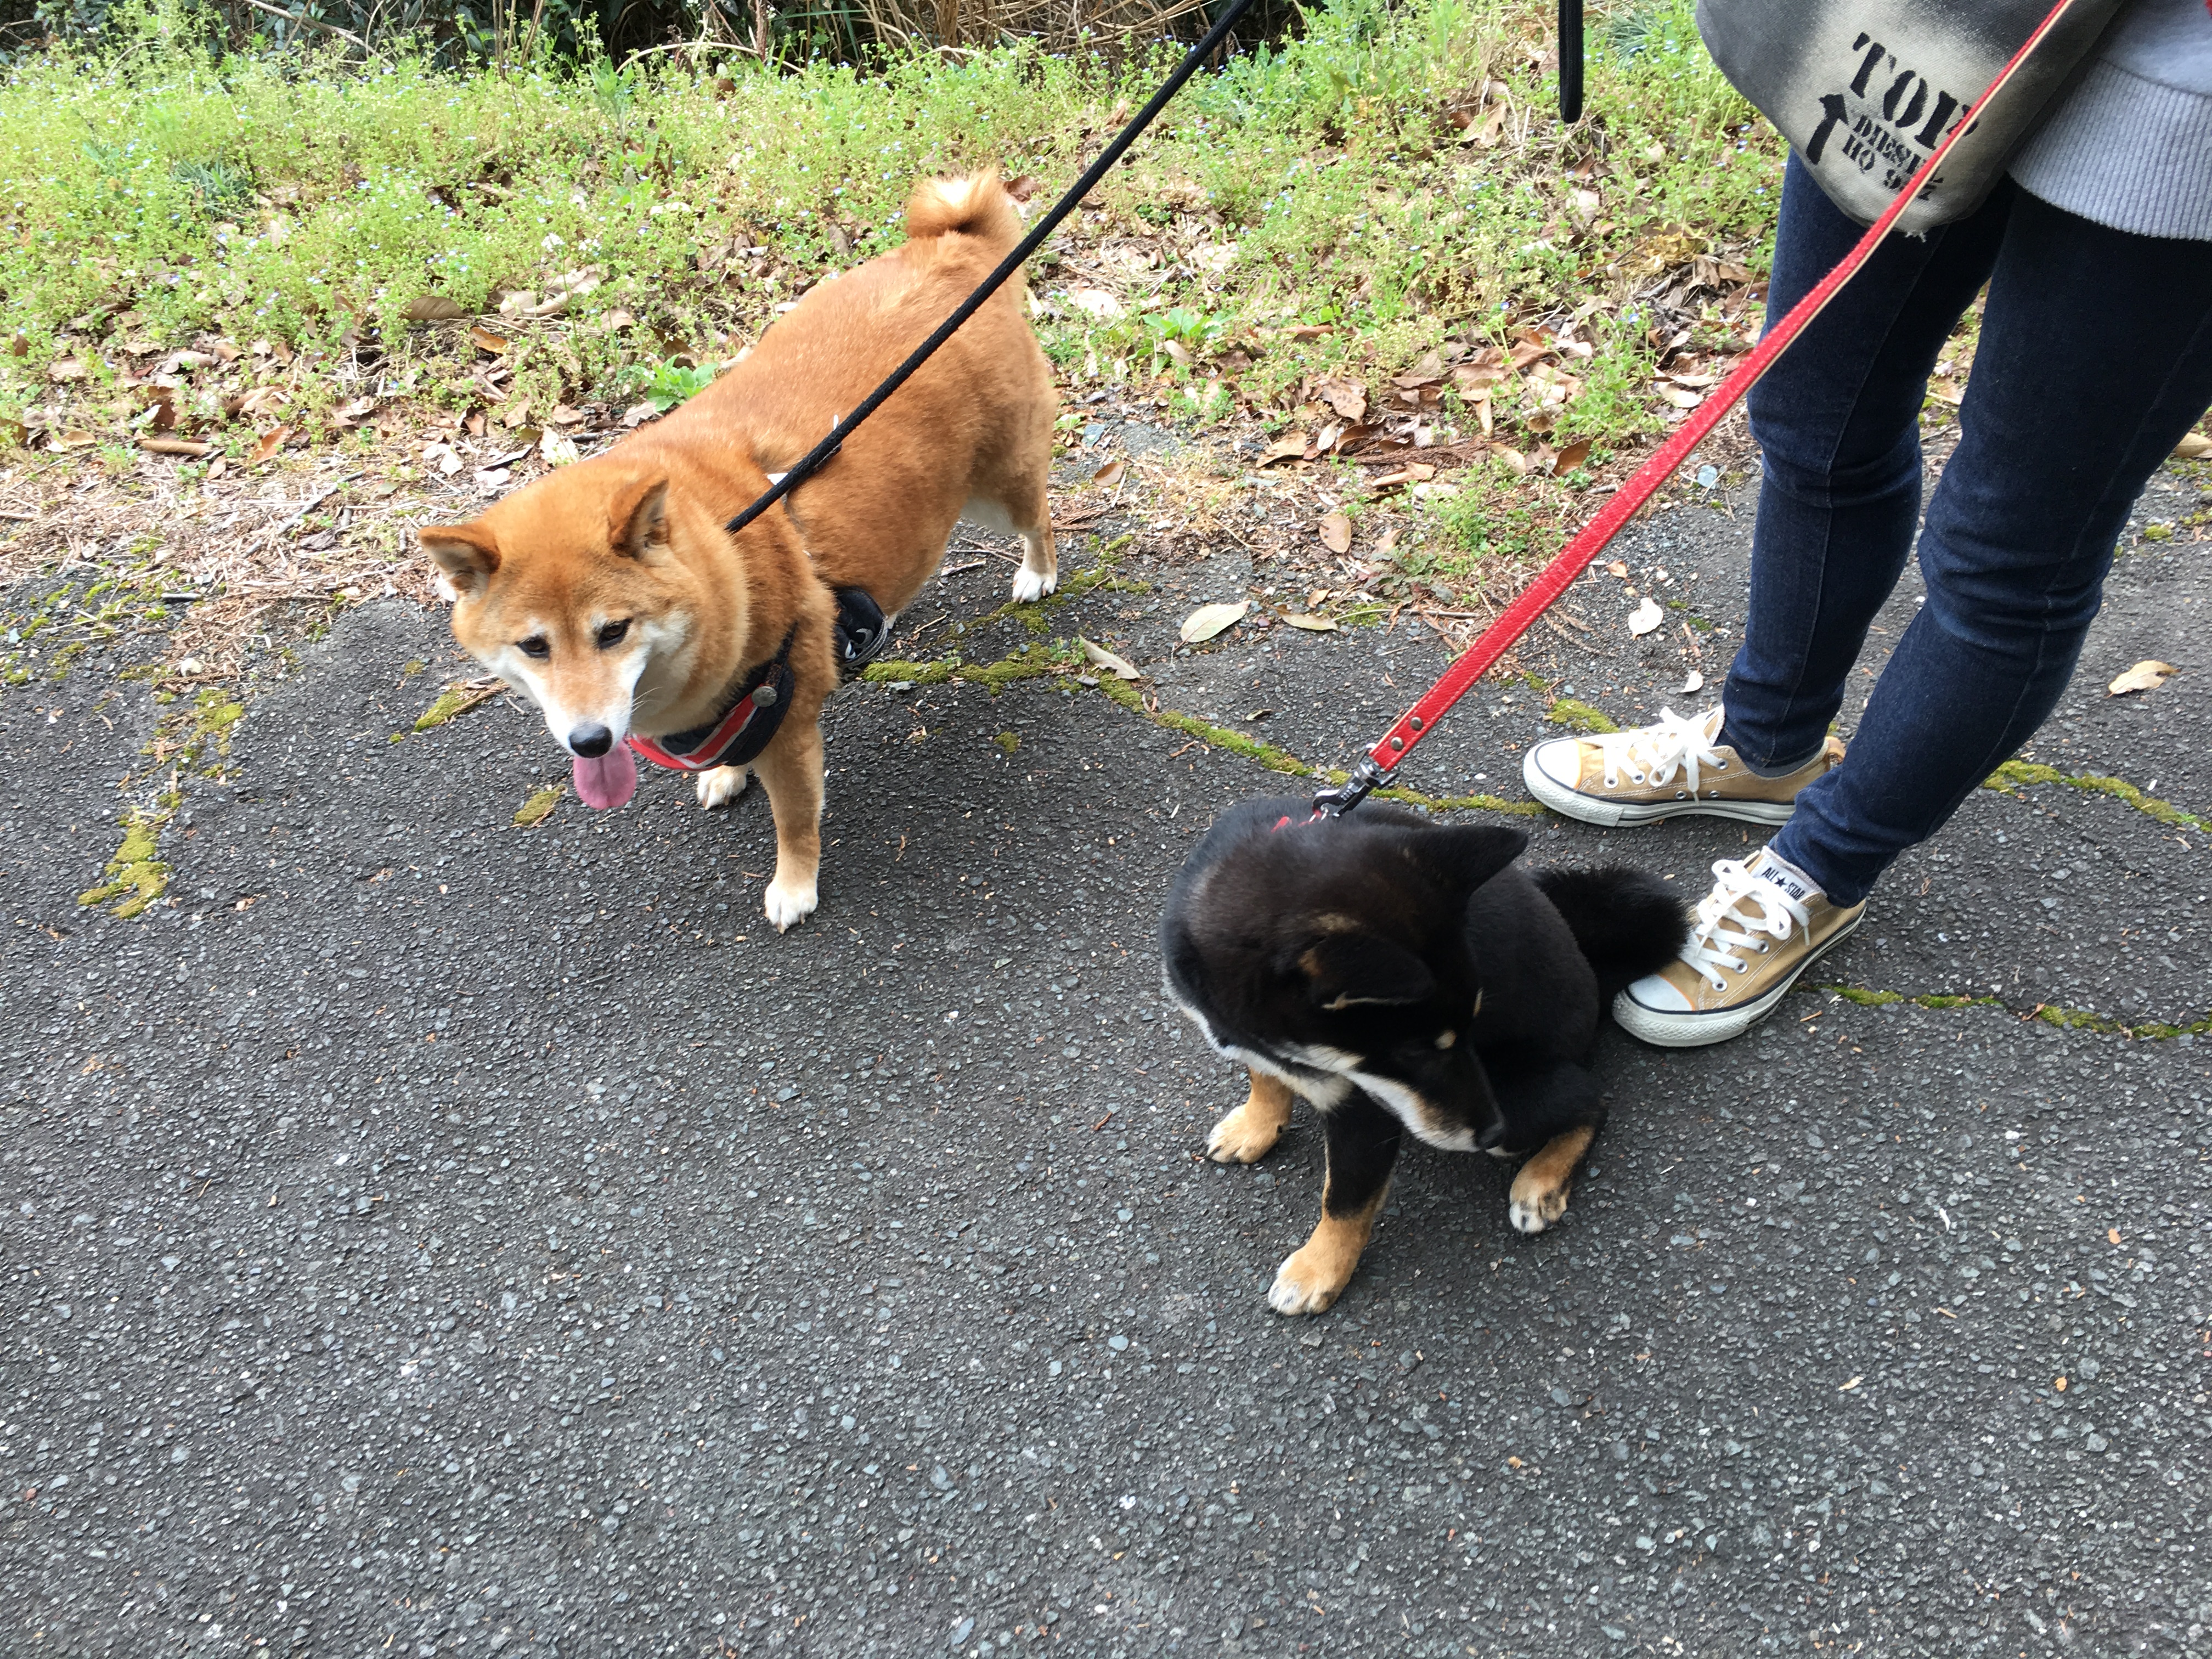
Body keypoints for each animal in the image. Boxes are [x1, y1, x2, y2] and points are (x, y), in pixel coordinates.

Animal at [425, 181, 1070, 942]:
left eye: (612, 632)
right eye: (534, 646)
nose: (590, 742)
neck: (721, 554)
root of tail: (952, 249)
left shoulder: (785, 730)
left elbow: (795, 824)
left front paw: (795, 886)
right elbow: (730, 755)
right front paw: (727, 776)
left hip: (998, 492)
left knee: (1041, 516)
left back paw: (1037, 572)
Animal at [1150, 800, 1681, 1318]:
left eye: (1474, 1022)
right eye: (1414, 1051)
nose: (1492, 1129)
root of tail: (1596, 975)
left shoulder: (1364, 1112)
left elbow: (1345, 1200)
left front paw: (1318, 1271)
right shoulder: (1250, 1041)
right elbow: (1265, 1077)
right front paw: (1257, 1126)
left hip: (1522, 1095)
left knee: (1593, 1100)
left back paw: (1542, 1181)